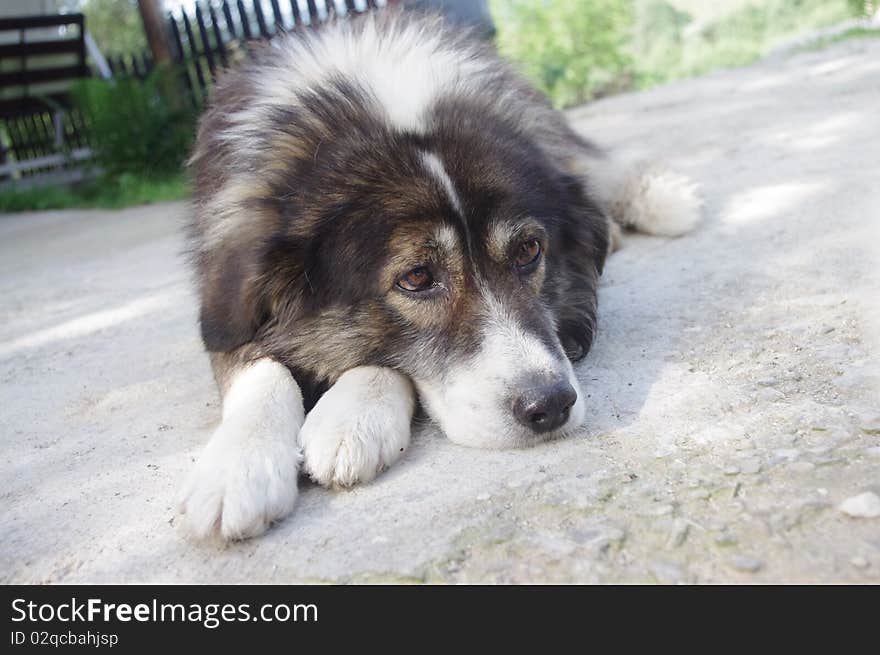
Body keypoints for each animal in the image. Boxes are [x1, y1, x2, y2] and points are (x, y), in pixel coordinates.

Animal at [177, 10, 700, 540]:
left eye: (529, 250)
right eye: (416, 278)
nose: (551, 405)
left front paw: (351, 416)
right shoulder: (223, 294)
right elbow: (258, 368)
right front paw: (240, 466)